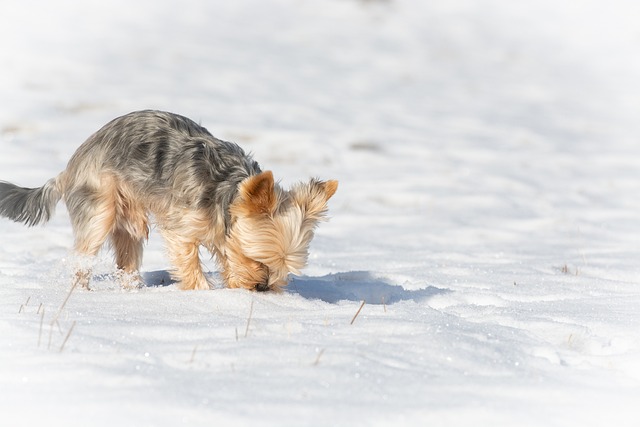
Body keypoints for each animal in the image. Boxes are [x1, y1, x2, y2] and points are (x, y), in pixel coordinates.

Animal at [0, 108, 338, 292]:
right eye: (258, 260)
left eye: (284, 268)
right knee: (83, 256)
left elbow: (226, 259)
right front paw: (203, 292)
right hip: (100, 207)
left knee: (127, 256)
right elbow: (189, 263)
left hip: (129, 219)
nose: (263, 288)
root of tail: (70, 166)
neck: (227, 191)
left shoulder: (225, 235)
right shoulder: (182, 228)